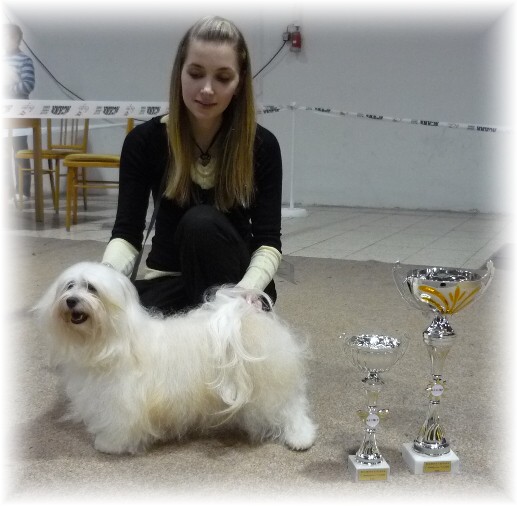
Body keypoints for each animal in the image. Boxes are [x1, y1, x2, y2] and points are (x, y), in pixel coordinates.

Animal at [35, 262, 317, 455]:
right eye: (69, 286)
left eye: (91, 288)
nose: (71, 301)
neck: (110, 341)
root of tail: (247, 317)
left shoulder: (121, 400)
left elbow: (120, 425)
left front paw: (109, 444)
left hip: (271, 388)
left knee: (291, 410)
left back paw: (301, 438)